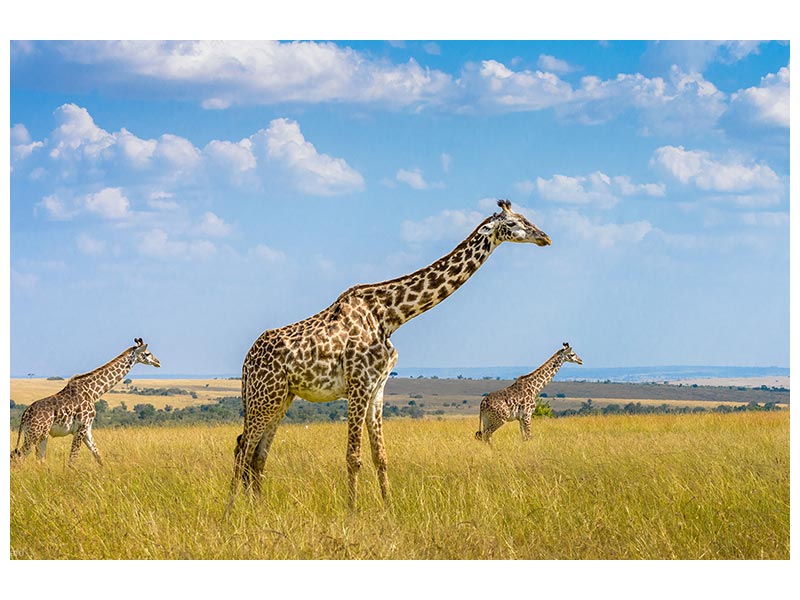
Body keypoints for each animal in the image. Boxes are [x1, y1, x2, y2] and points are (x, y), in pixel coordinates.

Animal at [10, 338, 161, 465]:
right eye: (147, 353)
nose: (158, 362)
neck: (93, 392)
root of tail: (25, 414)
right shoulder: (81, 428)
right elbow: (72, 460)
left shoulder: (87, 429)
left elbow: (98, 456)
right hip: (33, 434)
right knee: (18, 457)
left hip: (40, 435)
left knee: (37, 459)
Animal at [227, 199, 551, 512]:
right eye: (513, 223)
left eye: (526, 218)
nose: (544, 237)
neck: (390, 315)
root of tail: (246, 361)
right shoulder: (358, 385)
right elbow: (353, 456)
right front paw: (352, 512)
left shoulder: (377, 388)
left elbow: (380, 455)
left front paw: (389, 509)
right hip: (263, 396)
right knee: (242, 448)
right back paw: (231, 513)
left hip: (281, 397)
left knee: (257, 454)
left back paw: (259, 509)